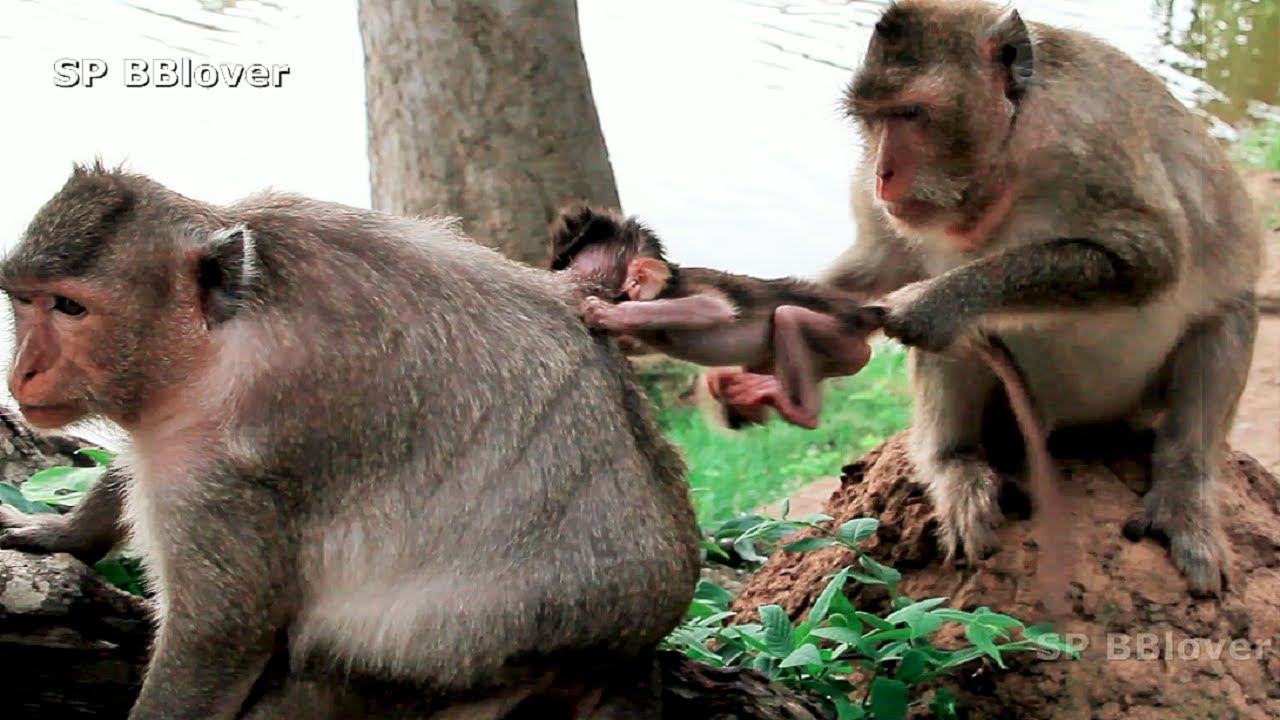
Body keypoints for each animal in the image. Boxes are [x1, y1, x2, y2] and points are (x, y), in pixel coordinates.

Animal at [0, 161, 703, 719]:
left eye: (70, 308)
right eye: (24, 301)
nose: (22, 370)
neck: (219, 342)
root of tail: (634, 644)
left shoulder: (221, 472)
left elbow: (220, 636)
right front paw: (62, 531)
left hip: (456, 673)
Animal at [545, 202, 882, 430]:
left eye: (575, 278)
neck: (665, 286)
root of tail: (863, 313)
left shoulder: (682, 291)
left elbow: (713, 307)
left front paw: (606, 314)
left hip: (844, 341)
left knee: (789, 317)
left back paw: (800, 412)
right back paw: (742, 400)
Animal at [707, 0, 1262, 598]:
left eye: (912, 114)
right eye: (873, 119)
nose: (883, 175)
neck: (1005, 162)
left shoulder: (1090, 141)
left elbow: (1149, 262)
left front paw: (936, 303)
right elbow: (878, 268)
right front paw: (749, 366)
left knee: (1224, 325)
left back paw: (1184, 492)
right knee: (962, 349)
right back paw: (956, 464)